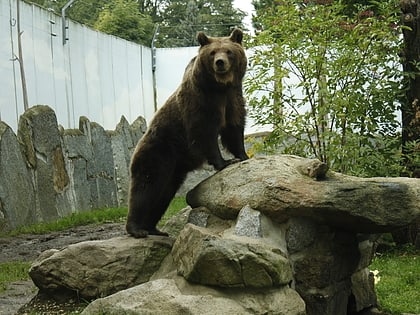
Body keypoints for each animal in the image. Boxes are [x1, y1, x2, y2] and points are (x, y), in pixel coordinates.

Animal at [126, 28, 248, 238]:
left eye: (229, 51)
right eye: (213, 53)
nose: (220, 63)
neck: (220, 86)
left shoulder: (233, 98)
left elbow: (234, 129)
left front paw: (244, 155)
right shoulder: (200, 102)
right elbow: (205, 133)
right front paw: (224, 162)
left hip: (174, 169)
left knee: (163, 194)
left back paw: (154, 229)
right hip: (158, 152)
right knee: (146, 188)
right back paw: (136, 229)